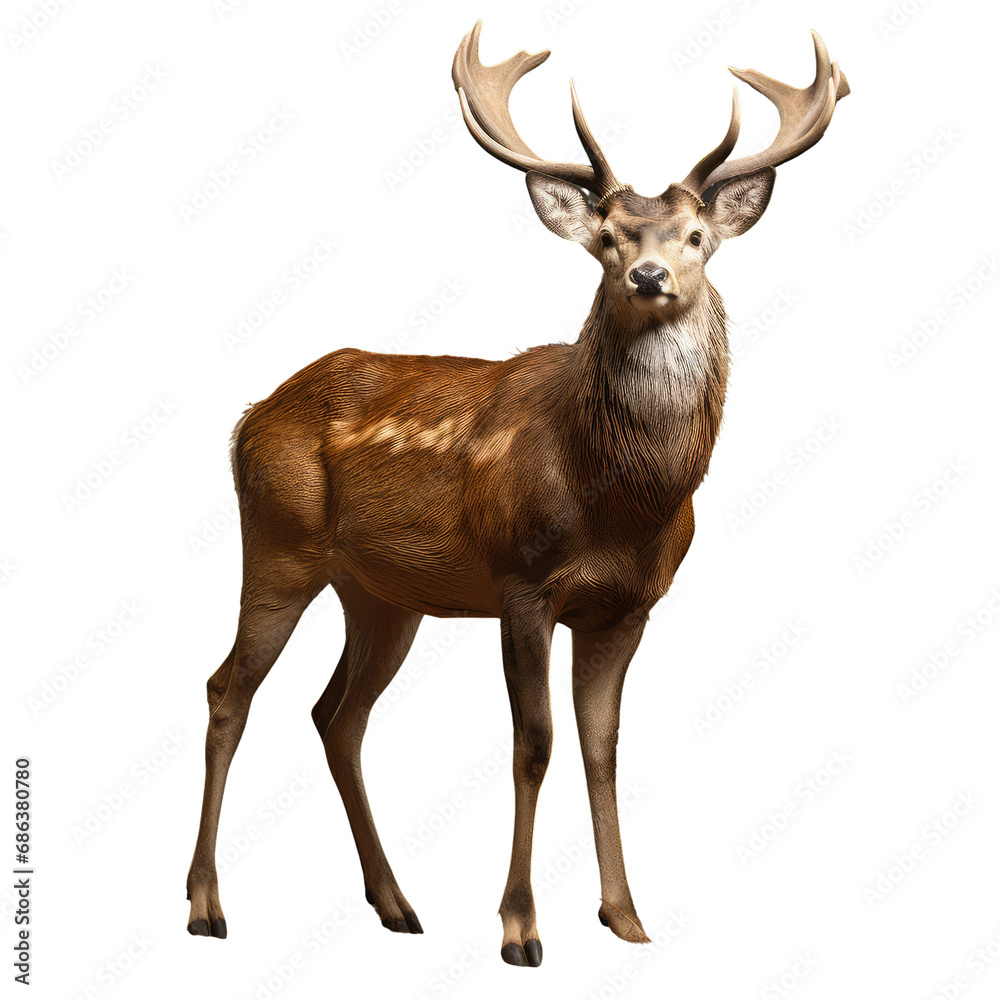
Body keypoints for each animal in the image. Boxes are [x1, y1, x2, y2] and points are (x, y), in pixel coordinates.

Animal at [185, 21, 848, 967]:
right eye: (608, 235)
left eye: (695, 236)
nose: (649, 276)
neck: (622, 503)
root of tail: (248, 416)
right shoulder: (521, 581)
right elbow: (532, 744)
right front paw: (520, 928)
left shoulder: (628, 608)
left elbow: (602, 749)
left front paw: (627, 917)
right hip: (277, 542)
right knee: (227, 690)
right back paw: (208, 907)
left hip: (383, 594)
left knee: (335, 713)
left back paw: (396, 903)